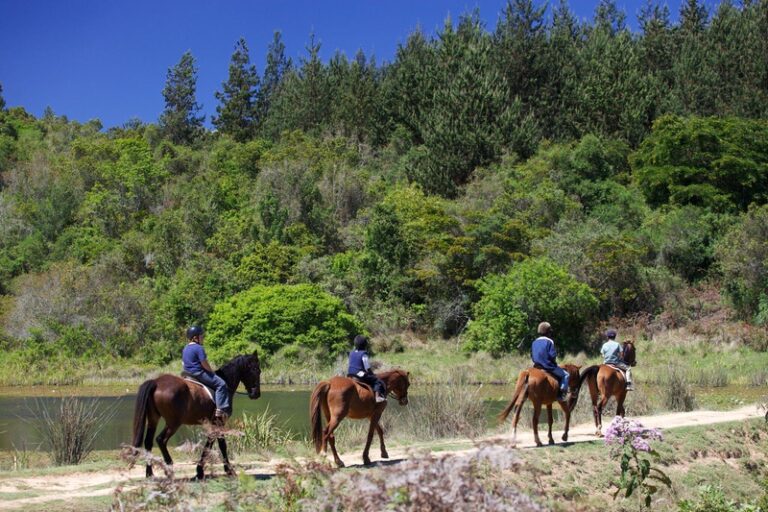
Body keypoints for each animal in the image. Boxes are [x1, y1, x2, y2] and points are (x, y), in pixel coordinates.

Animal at [131, 352, 260, 480]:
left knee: (148, 442)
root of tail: (156, 382)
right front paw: (228, 471)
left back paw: (149, 473)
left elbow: (210, 444)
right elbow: (220, 445)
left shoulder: (213, 424)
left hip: (153, 419)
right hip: (173, 423)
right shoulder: (219, 422)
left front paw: (200, 471)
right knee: (160, 440)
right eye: (256, 370)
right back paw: (169, 469)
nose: (256, 394)